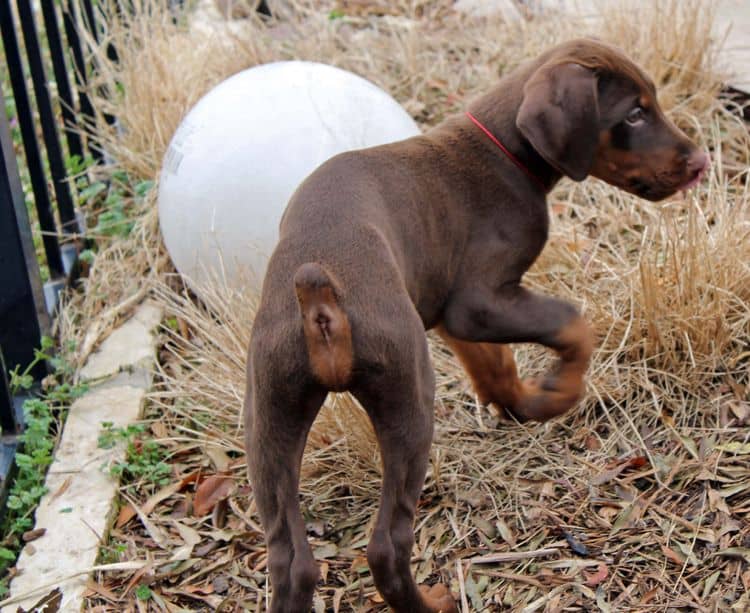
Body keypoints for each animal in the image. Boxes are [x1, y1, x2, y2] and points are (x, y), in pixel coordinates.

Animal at [244, 39, 708, 612]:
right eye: (635, 114)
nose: (701, 163)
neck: (503, 150)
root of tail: (322, 303)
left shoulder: (453, 312)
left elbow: (493, 364)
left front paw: (519, 404)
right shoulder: (479, 301)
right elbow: (573, 325)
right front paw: (557, 395)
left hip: (270, 413)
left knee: (291, 562)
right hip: (408, 397)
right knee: (387, 547)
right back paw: (434, 602)